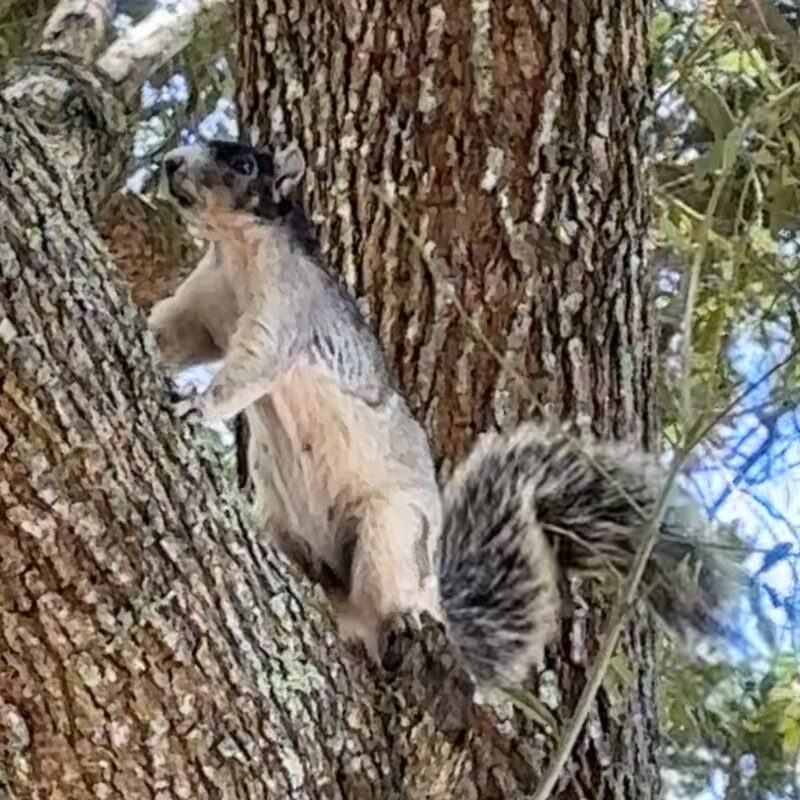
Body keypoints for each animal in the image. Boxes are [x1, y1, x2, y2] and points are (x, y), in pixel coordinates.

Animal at [147, 139, 736, 688]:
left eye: (245, 165)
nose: (171, 162)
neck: (234, 251)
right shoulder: (203, 306)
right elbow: (172, 331)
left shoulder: (290, 308)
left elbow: (251, 368)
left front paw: (197, 403)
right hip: (283, 520)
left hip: (392, 530)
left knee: (380, 602)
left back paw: (379, 622)